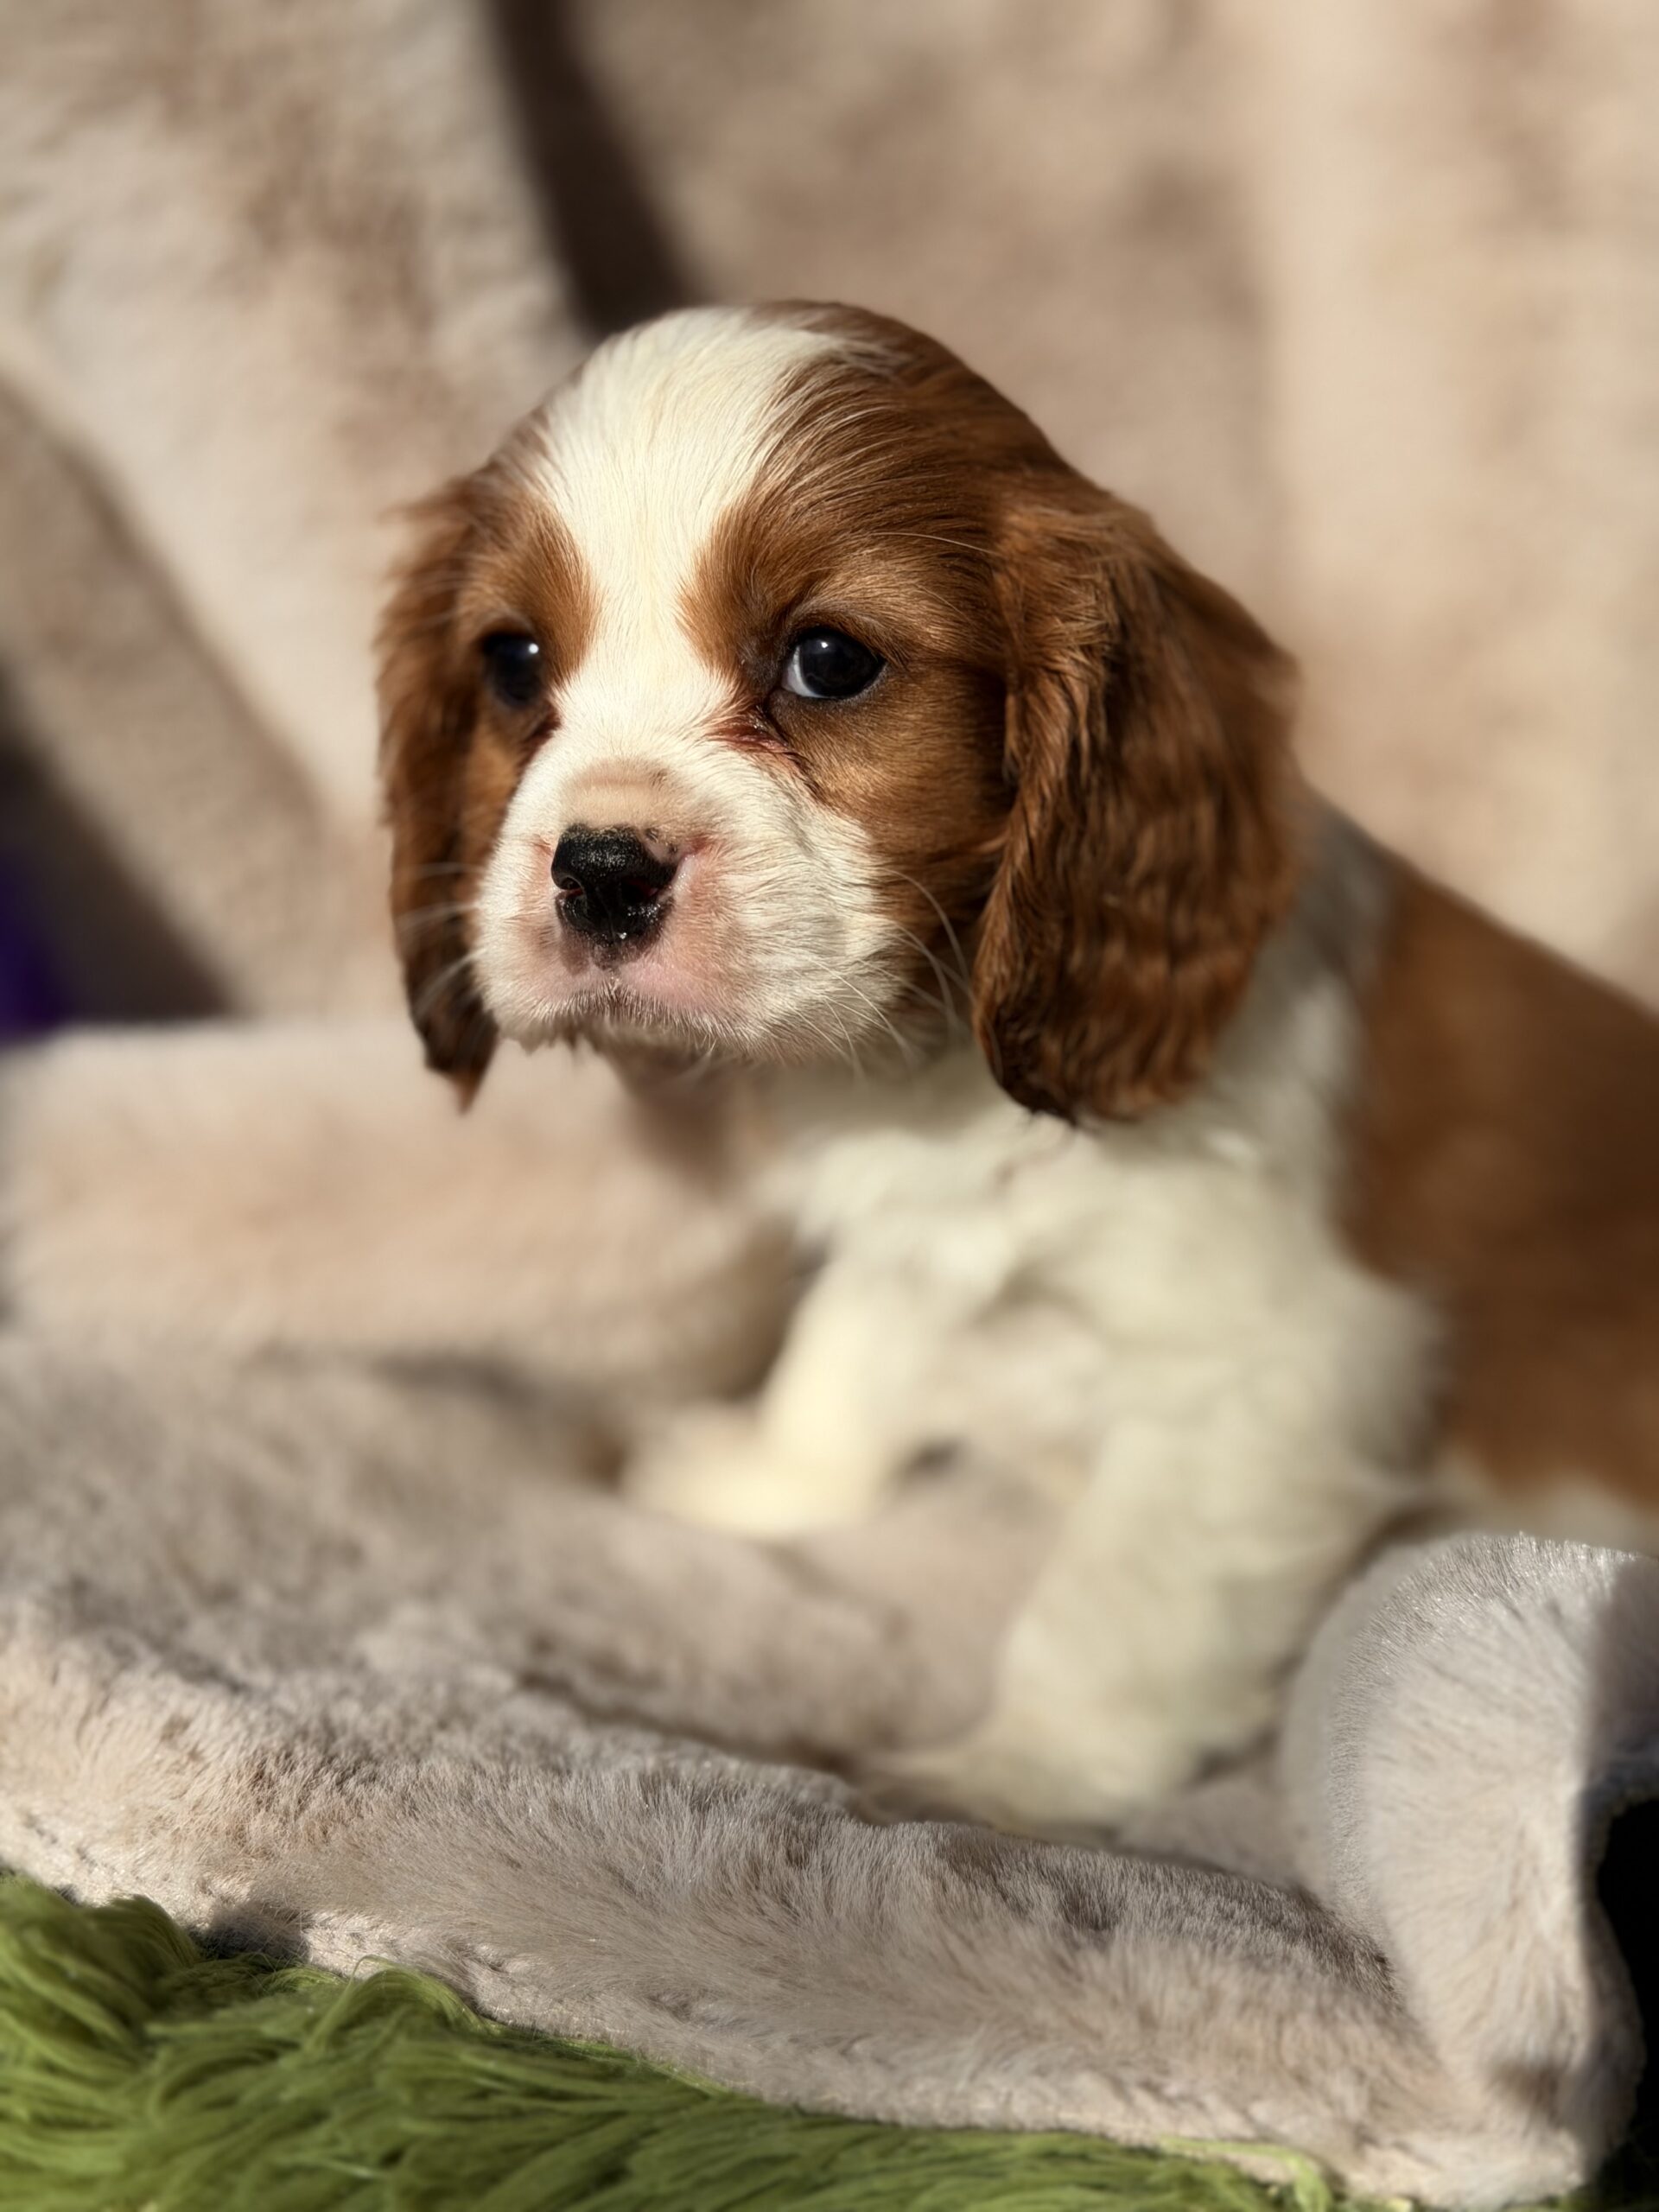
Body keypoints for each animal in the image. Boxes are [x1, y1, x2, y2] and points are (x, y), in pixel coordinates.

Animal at [376, 303, 1659, 1829]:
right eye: (514, 663)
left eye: (828, 661)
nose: (601, 871)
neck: (934, 1061)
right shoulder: (911, 1237)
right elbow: (848, 1347)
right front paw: (760, 1473)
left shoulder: (1272, 1371)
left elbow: (1113, 1603)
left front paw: (1004, 1777)